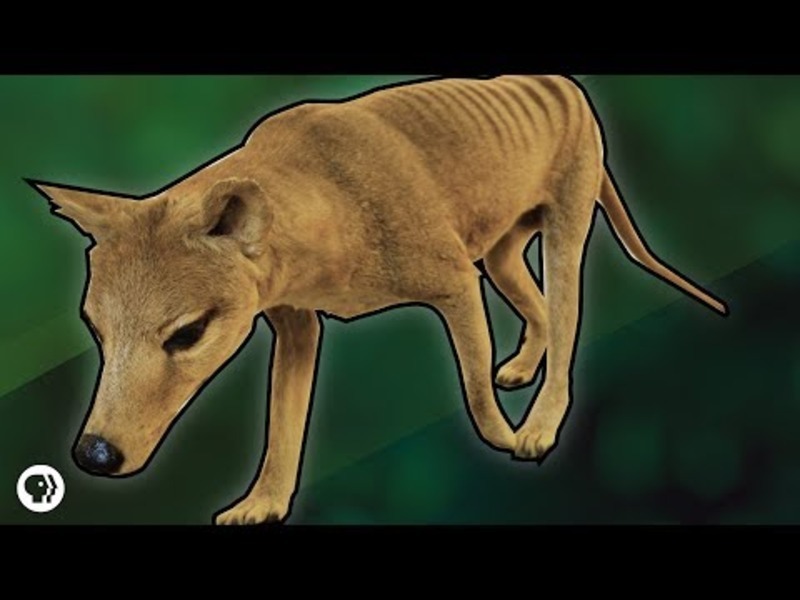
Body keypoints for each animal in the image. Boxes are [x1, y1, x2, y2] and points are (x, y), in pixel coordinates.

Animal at [30, 76, 727, 524]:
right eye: (94, 329)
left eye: (186, 335)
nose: (93, 455)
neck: (330, 201)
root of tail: (566, 81)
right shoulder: (295, 321)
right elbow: (283, 422)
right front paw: (263, 505)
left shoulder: (455, 281)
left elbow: (475, 392)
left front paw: (506, 437)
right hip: (502, 249)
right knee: (537, 309)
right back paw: (522, 369)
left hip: (562, 232)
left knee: (565, 317)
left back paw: (539, 425)